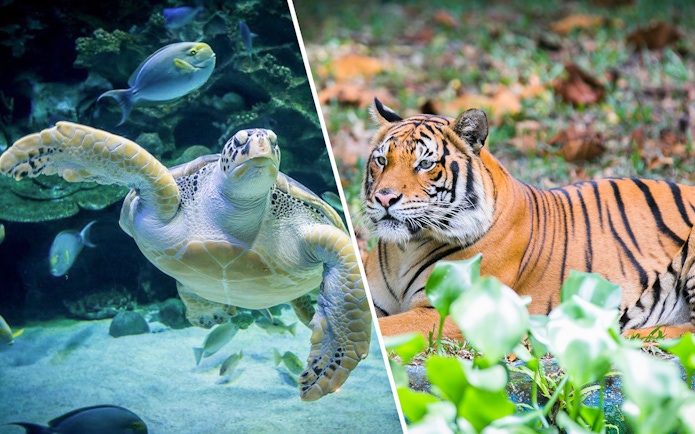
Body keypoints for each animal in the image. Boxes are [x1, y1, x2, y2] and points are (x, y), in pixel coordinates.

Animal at [363, 97, 695, 339]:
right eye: (381, 160)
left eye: (425, 163)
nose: (384, 198)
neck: (406, 248)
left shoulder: (448, 311)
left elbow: (386, 329)